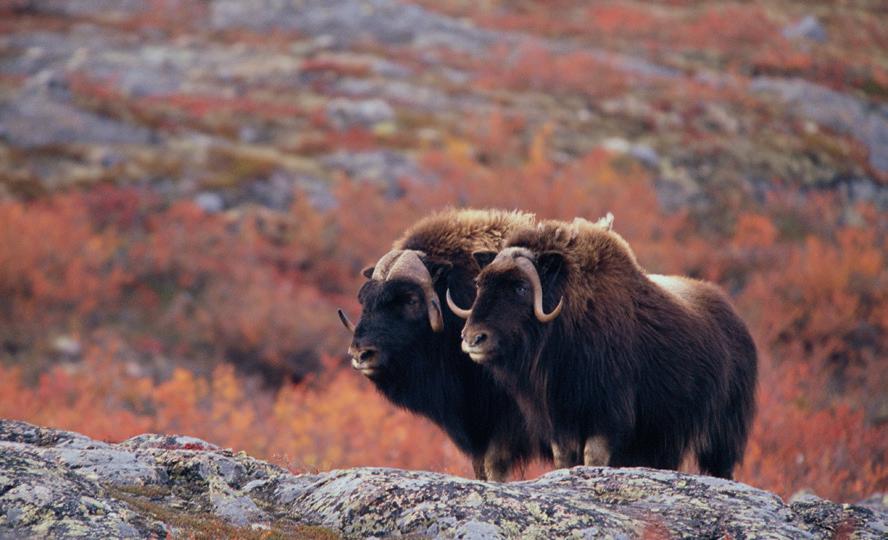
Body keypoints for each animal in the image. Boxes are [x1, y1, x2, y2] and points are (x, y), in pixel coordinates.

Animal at [449, 216, 757, 478]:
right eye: (480, 283)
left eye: (521, 287)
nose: (472, 338)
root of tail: (737, 322)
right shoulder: (560, 420)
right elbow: (565, 459)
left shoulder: (607, 414)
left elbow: (594, 456)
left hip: (721, 432)